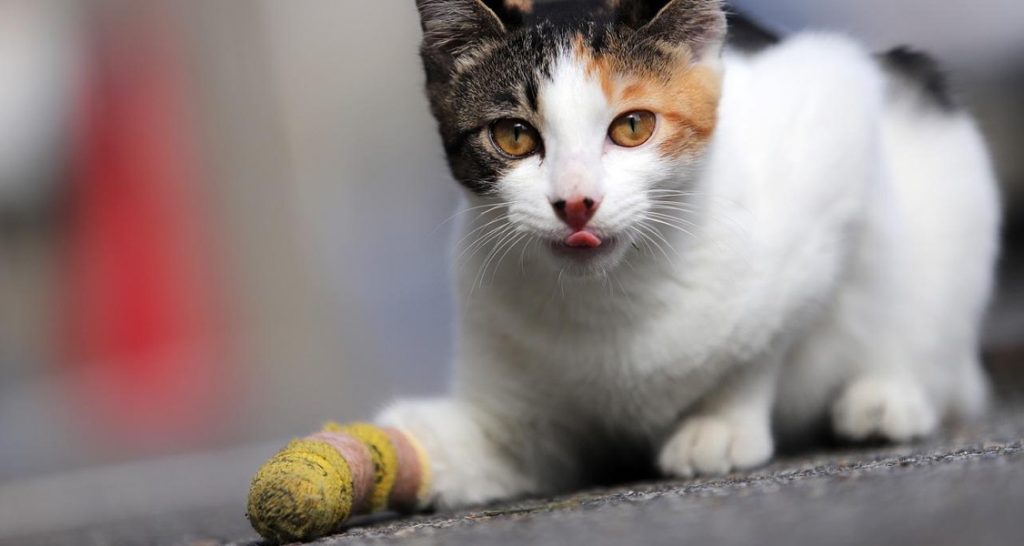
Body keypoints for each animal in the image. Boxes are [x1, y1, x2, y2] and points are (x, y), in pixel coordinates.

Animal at [376, 0, 999, 508]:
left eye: (633, 126)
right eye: (513, 137)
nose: (576, 202)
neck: (611, 300)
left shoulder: (832, 123)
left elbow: (769, 336)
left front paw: (719, 422)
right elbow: (504, 443)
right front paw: (417, 451)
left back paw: (886, 397)